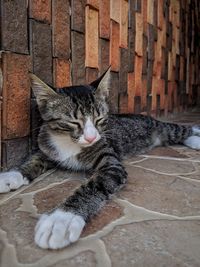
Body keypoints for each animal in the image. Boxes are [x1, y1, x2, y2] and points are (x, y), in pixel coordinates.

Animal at [0, 67, 200, 251]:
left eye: (100, 119)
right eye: (73, 122)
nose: (91, 137)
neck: (69, 144)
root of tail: (149, 117)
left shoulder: (111, 163)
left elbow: (96, 184)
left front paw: (62, 219)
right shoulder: (47, 147)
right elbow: (34, 159)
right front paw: (11, 175)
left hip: (164, 130)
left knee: (181, 130)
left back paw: (196, 137)